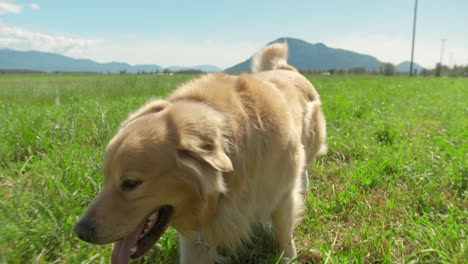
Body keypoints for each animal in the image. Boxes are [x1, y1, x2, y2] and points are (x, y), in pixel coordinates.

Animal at [75, 42, 328, 262]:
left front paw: (289, 258)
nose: (79, 231)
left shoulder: (281, 196)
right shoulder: (198, 237)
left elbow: (285, 233)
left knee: (303, 171)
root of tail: (284, 69)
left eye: (130, 184)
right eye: (105, 178)